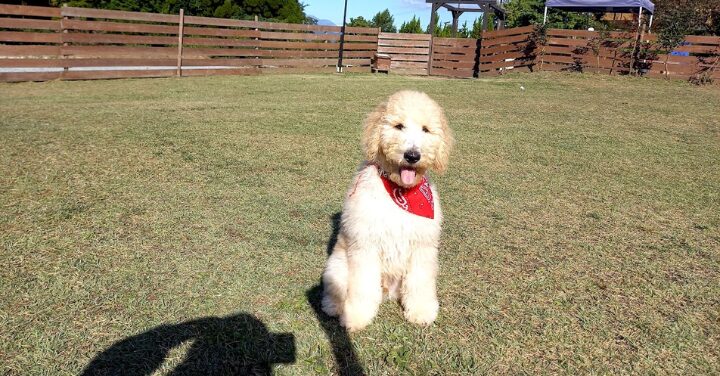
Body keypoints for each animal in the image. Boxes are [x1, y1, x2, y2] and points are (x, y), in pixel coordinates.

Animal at [322, 89, 452, 330]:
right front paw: (356, 316)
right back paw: (334, 307)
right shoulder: (365, 245)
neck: (400, 194)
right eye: (399, 126)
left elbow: (420, 282)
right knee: (333, 292)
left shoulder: (423, 247)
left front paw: (421, 311)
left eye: (426, 129)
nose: (412, 155)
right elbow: (362, 286)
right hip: (336, 266)